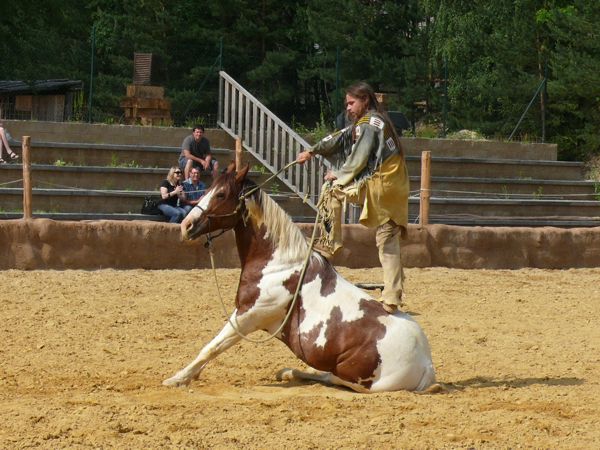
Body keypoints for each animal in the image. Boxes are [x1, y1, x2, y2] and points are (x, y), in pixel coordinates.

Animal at [163, 163, 436, 392]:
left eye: (220, 194)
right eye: (208, 189)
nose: (186, 225)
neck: (279, 265)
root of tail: (426, 365)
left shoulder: (249, 316)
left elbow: (211, 347)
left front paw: (178, 378)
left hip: (355, 378)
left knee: (332, 378)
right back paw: (288, 372)